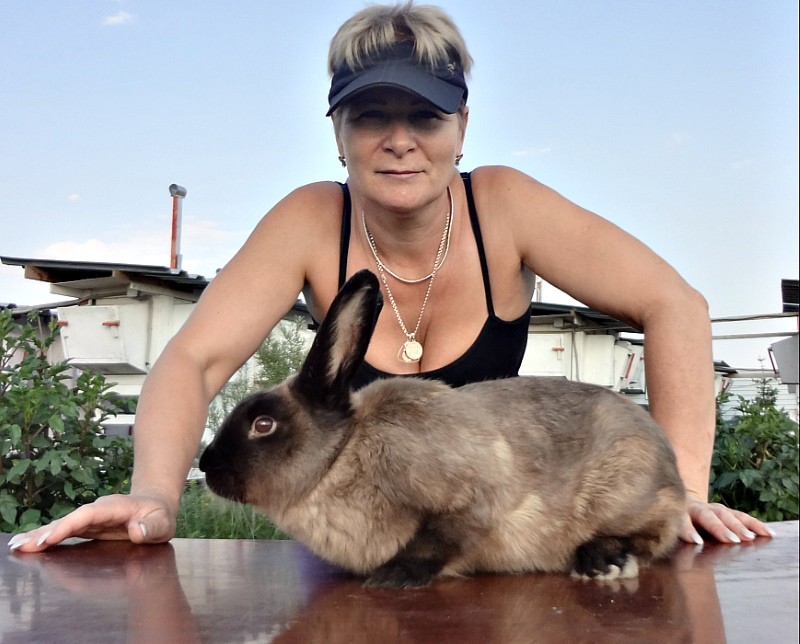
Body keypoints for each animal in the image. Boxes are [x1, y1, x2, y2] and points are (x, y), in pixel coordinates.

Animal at [200, 268, 688, 588]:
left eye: (263, 424)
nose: (205, 465)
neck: (342, 454)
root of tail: (673, 474)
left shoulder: (471, 498)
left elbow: (438, 540)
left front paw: (392, 578)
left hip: (625, 491)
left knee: (651, 536)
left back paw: (600, 564)